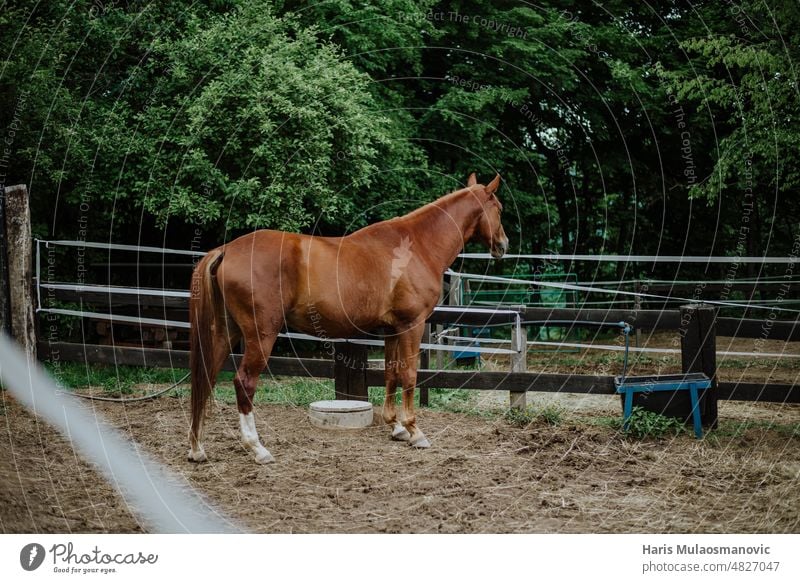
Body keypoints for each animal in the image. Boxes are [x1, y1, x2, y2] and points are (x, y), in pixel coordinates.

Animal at [188, 171, 510, 464]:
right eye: (498, 208)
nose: (503, 245)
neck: (416, 246)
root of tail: (227, 250)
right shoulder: (412, 325)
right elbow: (408, 374)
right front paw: (414, 431)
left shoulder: (391, 329)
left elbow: (391, 373)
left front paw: (395, 427)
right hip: (260, 335)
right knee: (244, 382)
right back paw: (257, 448)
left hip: (226, 332)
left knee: (207, 375)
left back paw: (197, 447)